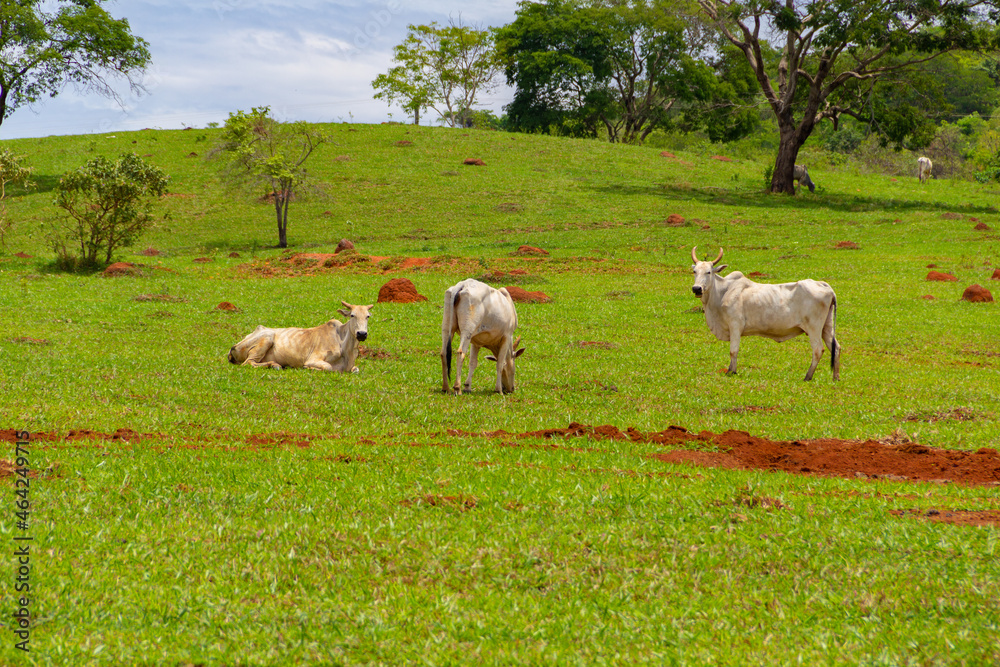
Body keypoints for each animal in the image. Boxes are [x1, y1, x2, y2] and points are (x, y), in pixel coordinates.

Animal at [227, 302, 376, 374]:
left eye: (368, 316)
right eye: (352, 315)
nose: (361, 334)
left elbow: (356, 370)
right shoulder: (313, 359)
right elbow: (328, 367)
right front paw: (307, 368)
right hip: (267, 338)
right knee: (249, 363)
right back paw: (275, 365)